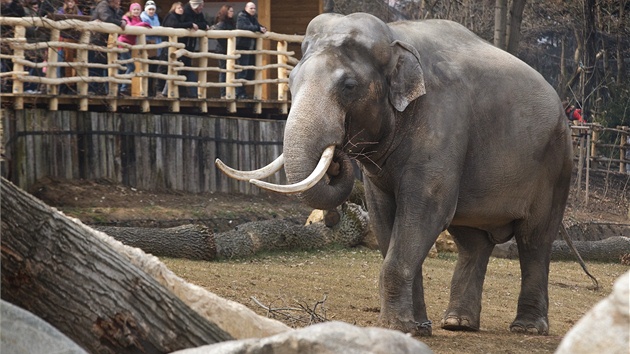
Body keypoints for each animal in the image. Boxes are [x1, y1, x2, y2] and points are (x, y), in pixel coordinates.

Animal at [218, 12, 576, 336]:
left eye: (349, 86)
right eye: (290, 82)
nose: (337, 160)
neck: (395, 36)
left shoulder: (443, 124)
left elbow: (425, 211)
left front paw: (397, 327)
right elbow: (383, 215)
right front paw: (417, 328)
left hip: (557, 164)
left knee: (534, 240)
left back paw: (527, 328)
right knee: (471, 241)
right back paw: (458, 324)